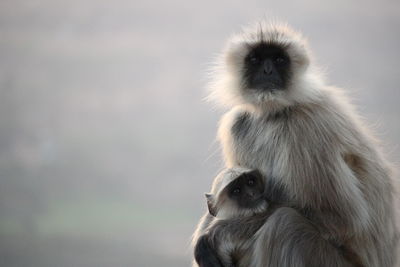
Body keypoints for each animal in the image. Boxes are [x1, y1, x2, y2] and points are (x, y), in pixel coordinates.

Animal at [193, 21, 396, 267]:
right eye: (255, 59)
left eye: (279, 59)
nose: (267, 71)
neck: (275, 113)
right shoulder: (238, 123)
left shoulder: (308, 127)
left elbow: (343, 219)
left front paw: (219, 233)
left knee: (284, 224)